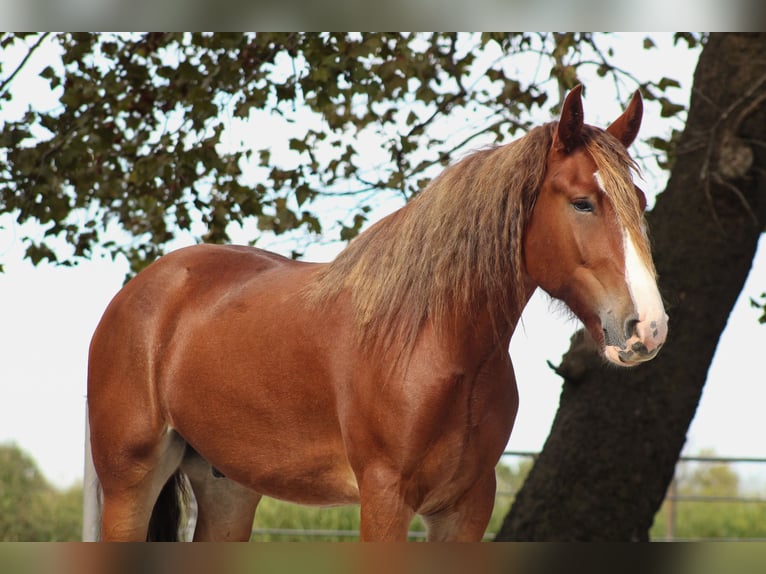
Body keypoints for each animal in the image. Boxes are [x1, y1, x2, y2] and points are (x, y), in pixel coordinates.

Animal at [83, 85, 668, 542]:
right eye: (582, 202)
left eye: (640, 202)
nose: (649, 327)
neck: (434, 342)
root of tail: (138, 293)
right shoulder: (385, 497)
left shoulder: (466, 506)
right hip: (130, 483)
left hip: (227, 490)